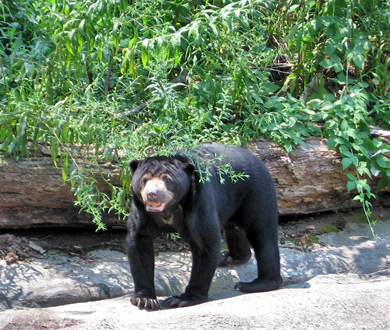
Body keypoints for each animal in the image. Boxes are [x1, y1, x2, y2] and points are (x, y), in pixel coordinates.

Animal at [126, 144, 282, 310]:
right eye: (144, 180)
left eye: (167, 179)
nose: (152, 194)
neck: (169, 209)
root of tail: (257, 159)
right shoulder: (141, 210)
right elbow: (139, 242)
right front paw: (145, 299)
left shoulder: (199, 201)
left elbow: (206, 244)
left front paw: (181, 299)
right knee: (235, 229)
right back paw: (228, 258)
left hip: (256, 193)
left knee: (263, 237)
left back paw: (254, 284)